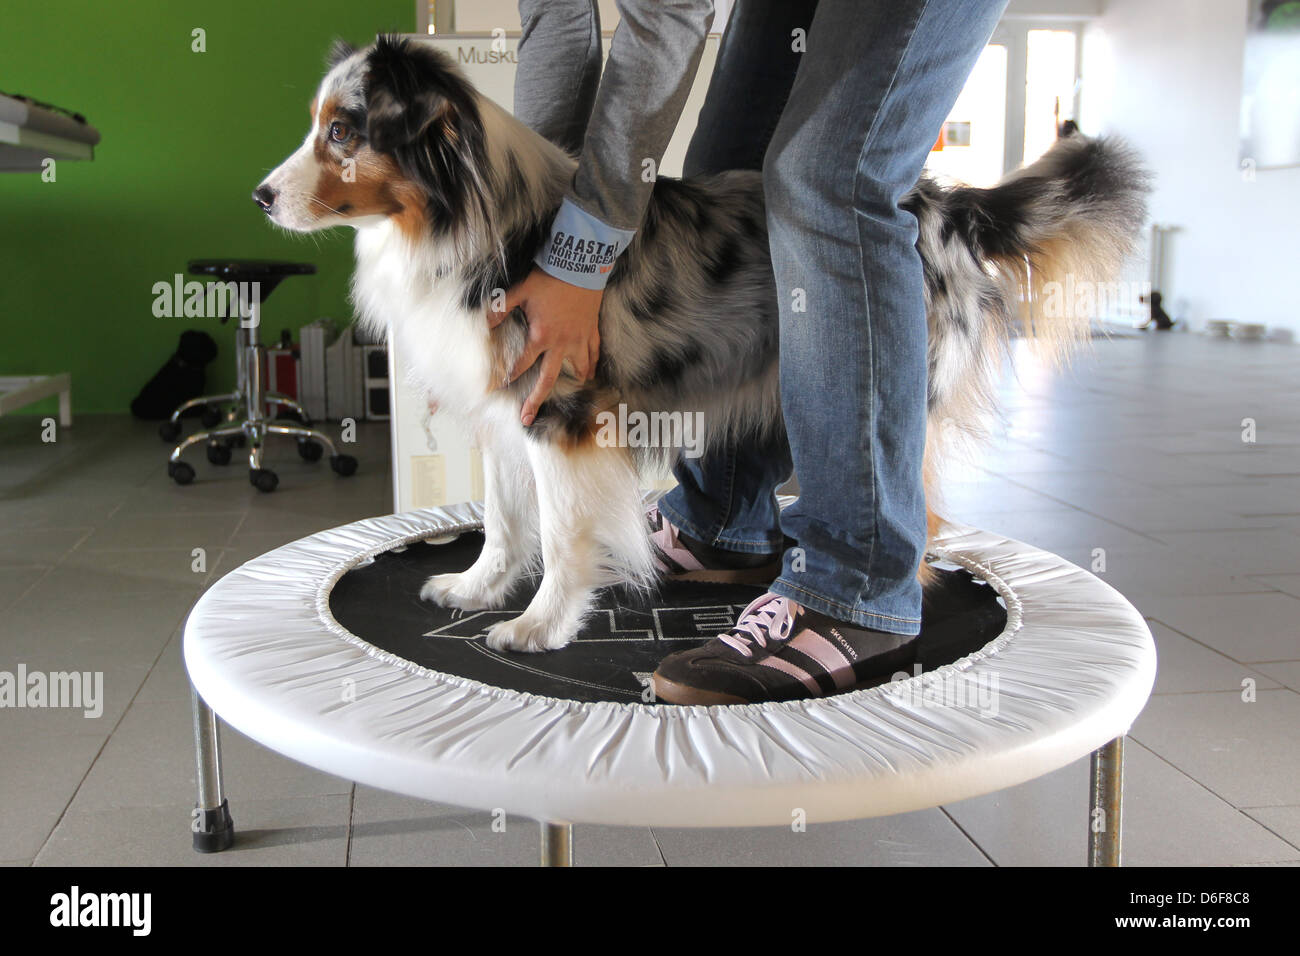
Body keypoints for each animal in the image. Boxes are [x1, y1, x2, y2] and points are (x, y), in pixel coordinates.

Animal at [253, 33, 1149, 655]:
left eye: (343, 131)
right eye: (318, 127)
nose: (260, 196)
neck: (465, 215)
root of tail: (945, 205)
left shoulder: (565, 411)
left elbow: (563, 532)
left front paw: (542, 625)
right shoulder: (508, 408)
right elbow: (506, 518)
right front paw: (479, 588)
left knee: (915, 513)